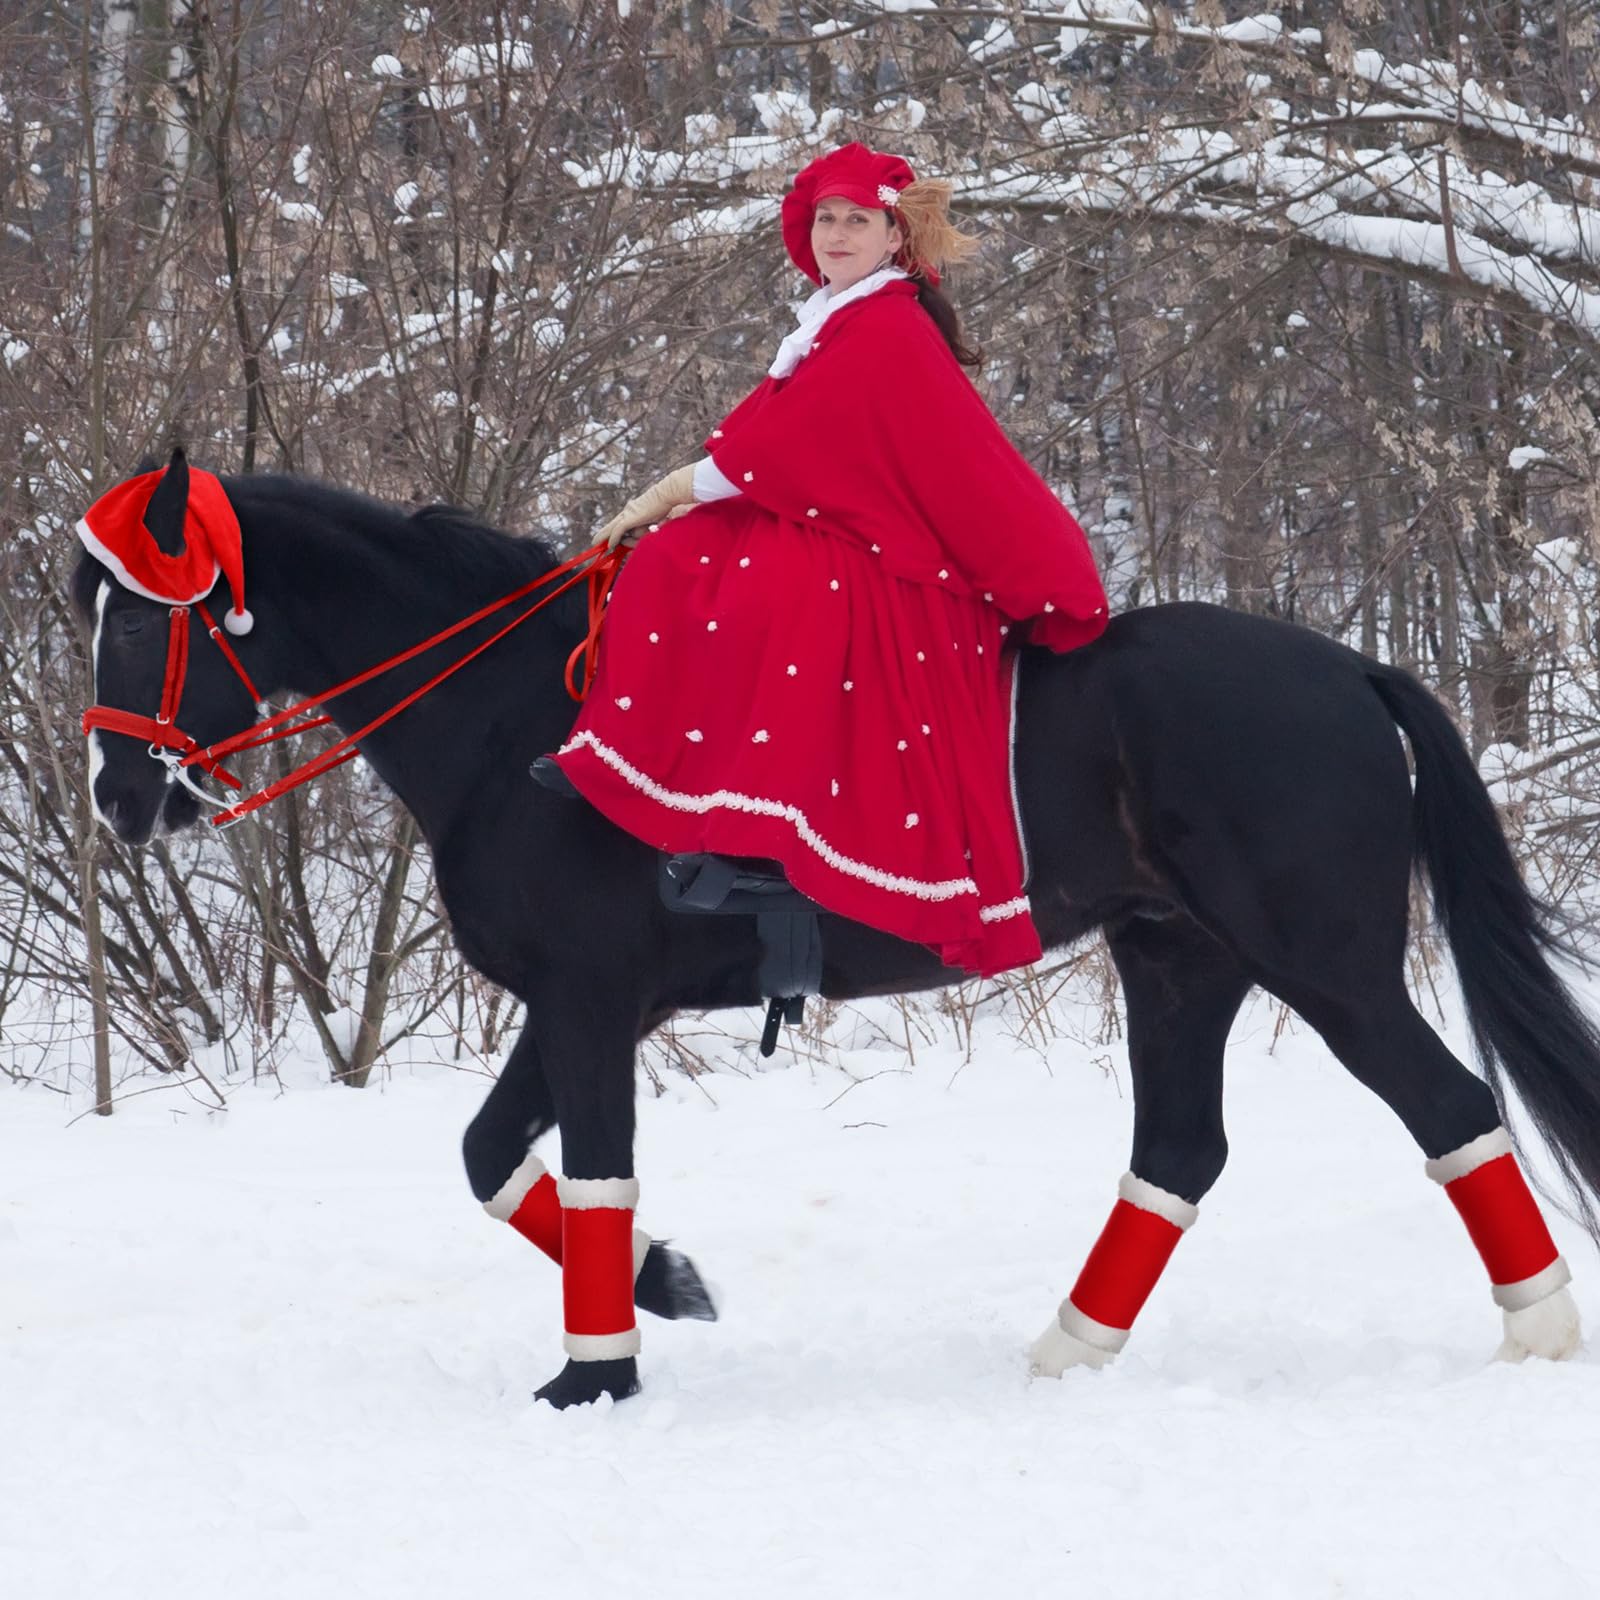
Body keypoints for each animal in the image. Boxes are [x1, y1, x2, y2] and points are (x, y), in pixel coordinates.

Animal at [74, 455, 1600, 1408]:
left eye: (138, 623)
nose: (116, 796)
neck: (516, 719)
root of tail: (1352, 666)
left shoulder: (587, 998)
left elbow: (590, 1164)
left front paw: (595, 1374)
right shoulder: (581, 1003)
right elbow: (492, 1158)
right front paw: (665, 1281)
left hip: (1323, 965)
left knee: (1450, 1107)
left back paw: (1540, 1328)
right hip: (1179, 959)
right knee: (1180, 1151)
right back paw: (1064, 1352)